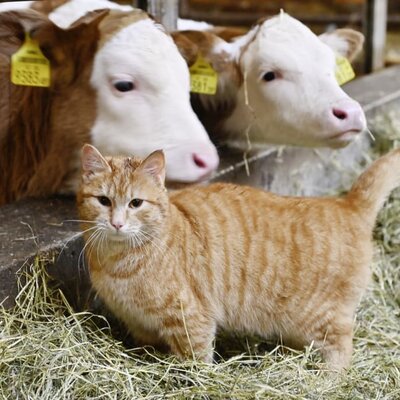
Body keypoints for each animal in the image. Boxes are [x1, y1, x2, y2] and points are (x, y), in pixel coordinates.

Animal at [76, 143, 398, 368]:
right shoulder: (139, 324)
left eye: (136, 203)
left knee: (341, 348)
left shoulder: (191, 321)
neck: (117, 263)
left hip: (321, 318)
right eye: (103, 201)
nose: (117, 223)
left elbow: (195, 361)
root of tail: (347, 205)